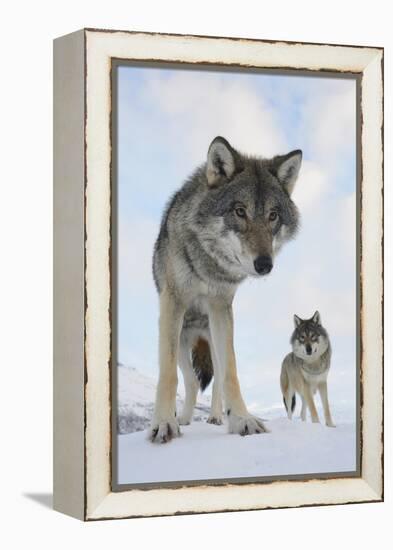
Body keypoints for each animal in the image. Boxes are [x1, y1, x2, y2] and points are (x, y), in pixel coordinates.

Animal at [149, 137, 302, 444]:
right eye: (240, 211)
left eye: (273, 216)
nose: (264, 265)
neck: (208, 264)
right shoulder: (173, 304)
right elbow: (167, 374)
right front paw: (164, 423)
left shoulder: (221, 307)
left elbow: (231, 373)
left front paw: (242, 420)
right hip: (182, 341)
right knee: (191, 381)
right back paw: (183, 419)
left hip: (212, 338)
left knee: (217, 379)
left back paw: (217, 417)